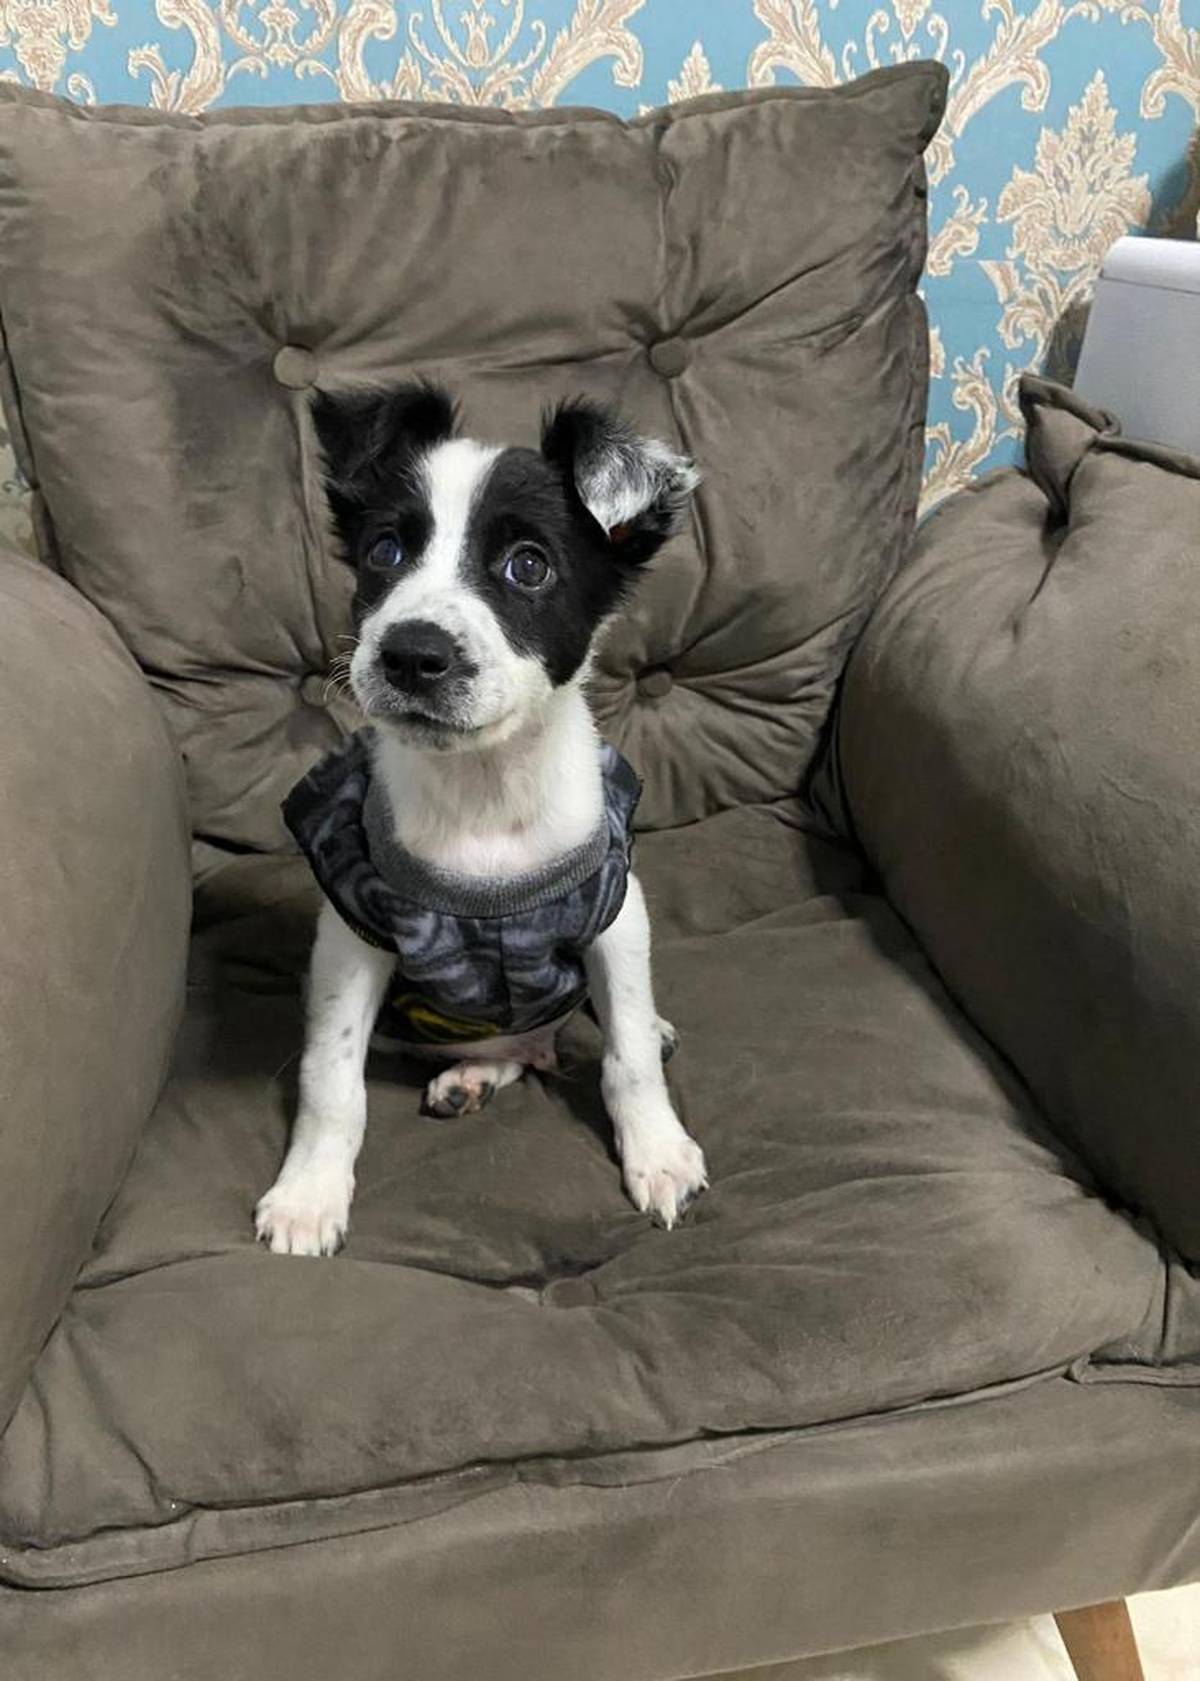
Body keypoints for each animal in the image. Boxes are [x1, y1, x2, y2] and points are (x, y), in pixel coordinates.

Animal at [255, 383, 708, 1256]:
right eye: (385, 552)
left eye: (528, 565)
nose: (410, 654)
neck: (486, 791)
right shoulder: (353, 934)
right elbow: (332, 1076)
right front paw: (308, 1192)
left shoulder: (613, 910)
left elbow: (629, 1053)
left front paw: (659, 1151)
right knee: (515, 1043)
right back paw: (472, 1074)